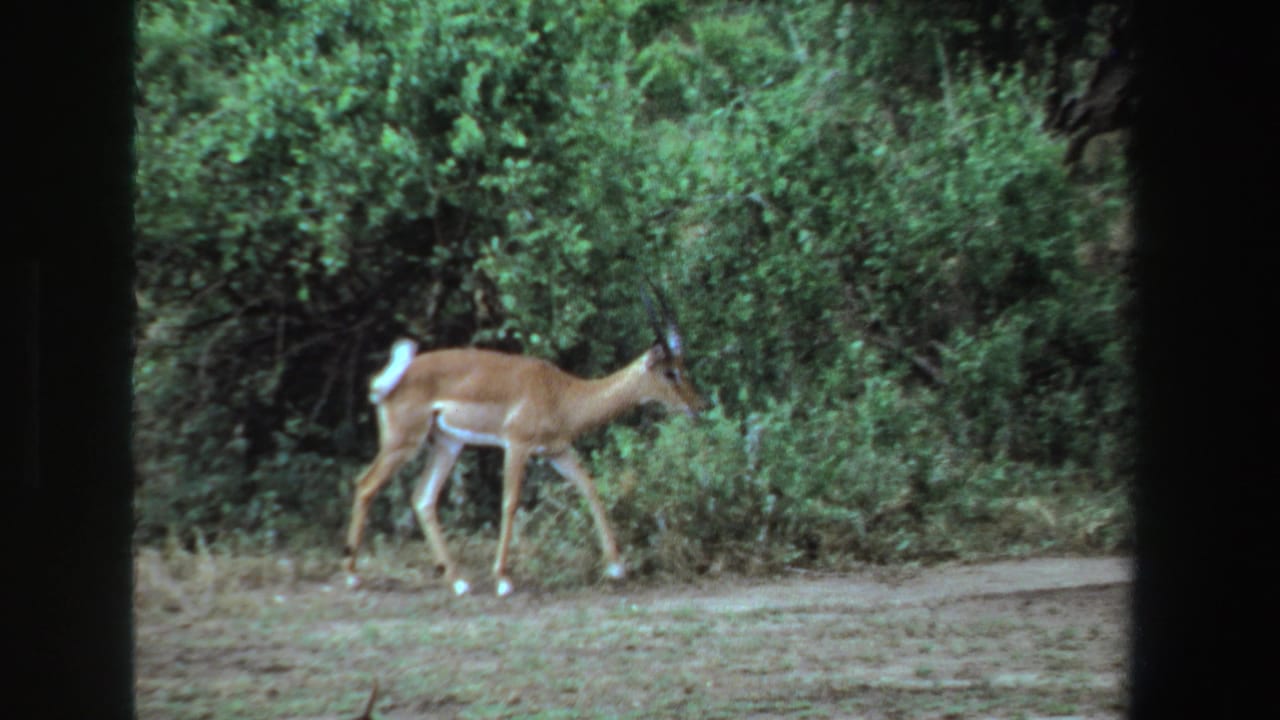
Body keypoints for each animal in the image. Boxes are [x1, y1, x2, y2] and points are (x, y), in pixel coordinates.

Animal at [343, 287, 706, 597]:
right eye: (670, 372)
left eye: (683, 365)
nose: (699, 406)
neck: (563, 394)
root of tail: (389, 380)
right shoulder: (516, 446)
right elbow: (510, 502)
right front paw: (503, 580)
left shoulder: (558, 451)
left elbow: (589, 487)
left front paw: (617, 567)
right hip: (402, 443)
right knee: (365, 484)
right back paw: (353, 575)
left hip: (447, 444)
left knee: (423, 499)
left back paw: (459, 582)